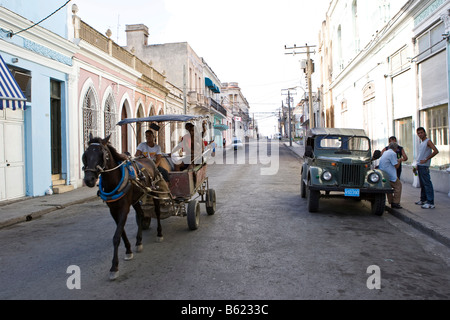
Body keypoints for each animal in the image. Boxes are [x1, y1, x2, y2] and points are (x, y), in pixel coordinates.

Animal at [81, 135, 170, 280]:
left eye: (102, 154)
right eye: (86, 154)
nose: (89, 179)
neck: (114, 179)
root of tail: (148, 159)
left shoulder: (124, 208)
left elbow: (116, 236)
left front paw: (114, 267)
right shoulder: (113, 209)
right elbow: (121, 232)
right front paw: (128, 250)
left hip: (155, 191)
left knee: (157, 212)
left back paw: (159, 233)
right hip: (136, 198)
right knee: (140, 214)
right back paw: (139, 242)